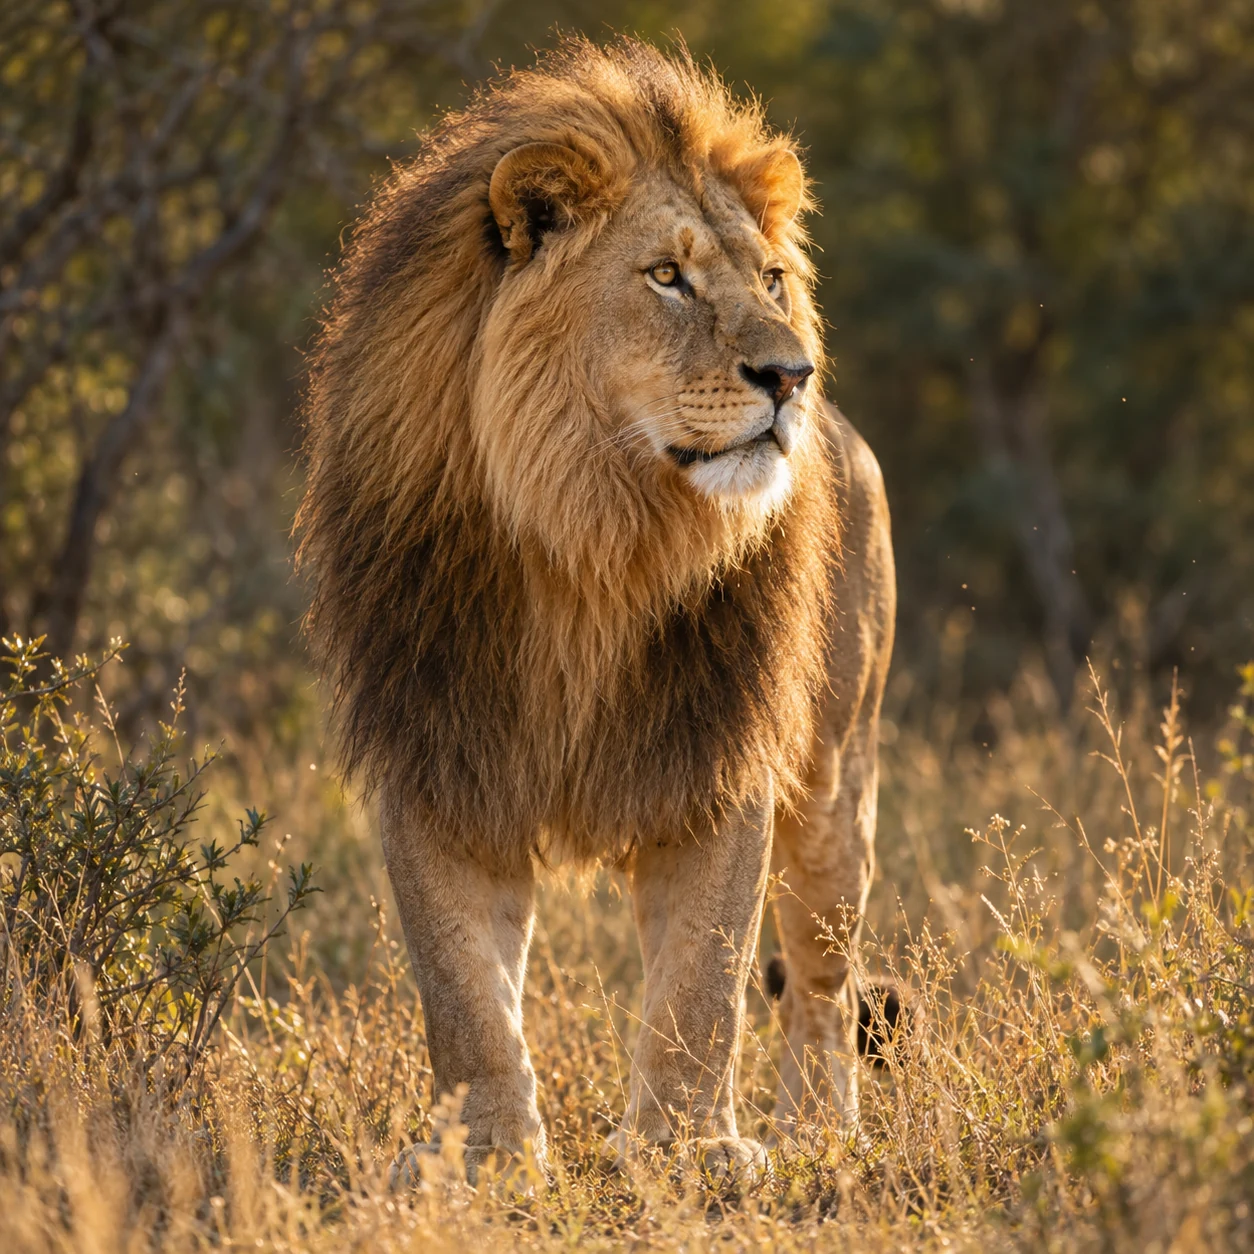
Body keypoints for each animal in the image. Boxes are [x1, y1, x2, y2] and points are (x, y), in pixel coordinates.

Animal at [296, 36, 895, 1186]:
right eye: (666, 276)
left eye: (772, 279)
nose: (790, 373)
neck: (591, 532)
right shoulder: (438, 751)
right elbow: (461, 988)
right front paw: (481, 1154)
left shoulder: (718, 751)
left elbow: (704, 979)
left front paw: (688, 1149)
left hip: (838, 778)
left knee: (822, 980)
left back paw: (818, 1132)